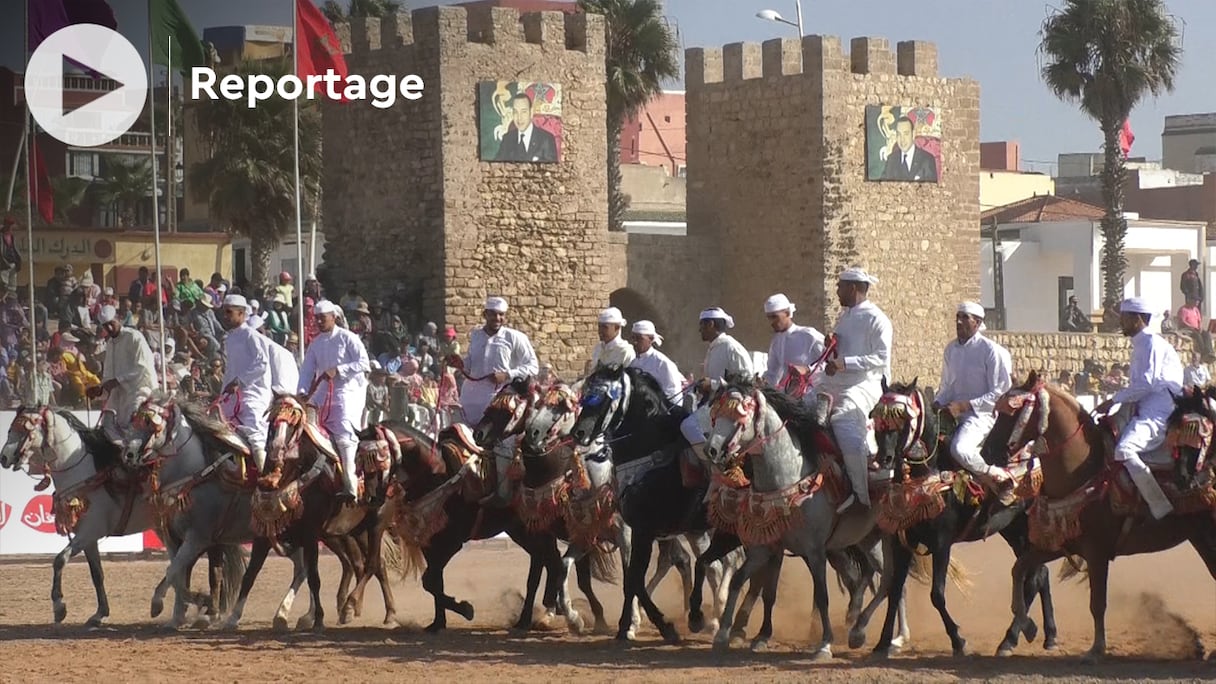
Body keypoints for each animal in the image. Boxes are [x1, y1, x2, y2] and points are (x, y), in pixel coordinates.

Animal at [700, 384, 909, 657]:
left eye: (739, 418)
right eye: (716, 413)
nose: (711, 450)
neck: (788, 477)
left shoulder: (815, 551)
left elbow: (821, 596)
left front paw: (825, 643)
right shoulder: (768, 548)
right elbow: (753, 586)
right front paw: (739, 634)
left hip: (891, 539)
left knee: (895, 582)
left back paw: (896, 637)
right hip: (869, 540)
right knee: (889, 579)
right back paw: (862, 631)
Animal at [875, 377, 1055, 657]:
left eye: (902, 418)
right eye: (878, 417)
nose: (884, 458)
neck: (928, 473)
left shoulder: (941, 543)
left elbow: (937, 594)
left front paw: (958, 639)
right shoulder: (902, 543)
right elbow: (894, 590)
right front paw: (883, 642)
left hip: (1026, 529)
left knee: (1034, 578)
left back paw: (1014, 636)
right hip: (1014, 531)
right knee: (1040, 574)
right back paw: (1047, 634)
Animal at [982, 369, 1216, 657]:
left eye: (1012, 413)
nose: (987, 451)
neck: (1084, 470)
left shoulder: (1097, 551)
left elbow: (1097, 603)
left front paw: (1096, 649)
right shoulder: (1060, 543)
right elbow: (1019, 570)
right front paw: (1027, 627)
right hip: (1201, 536)